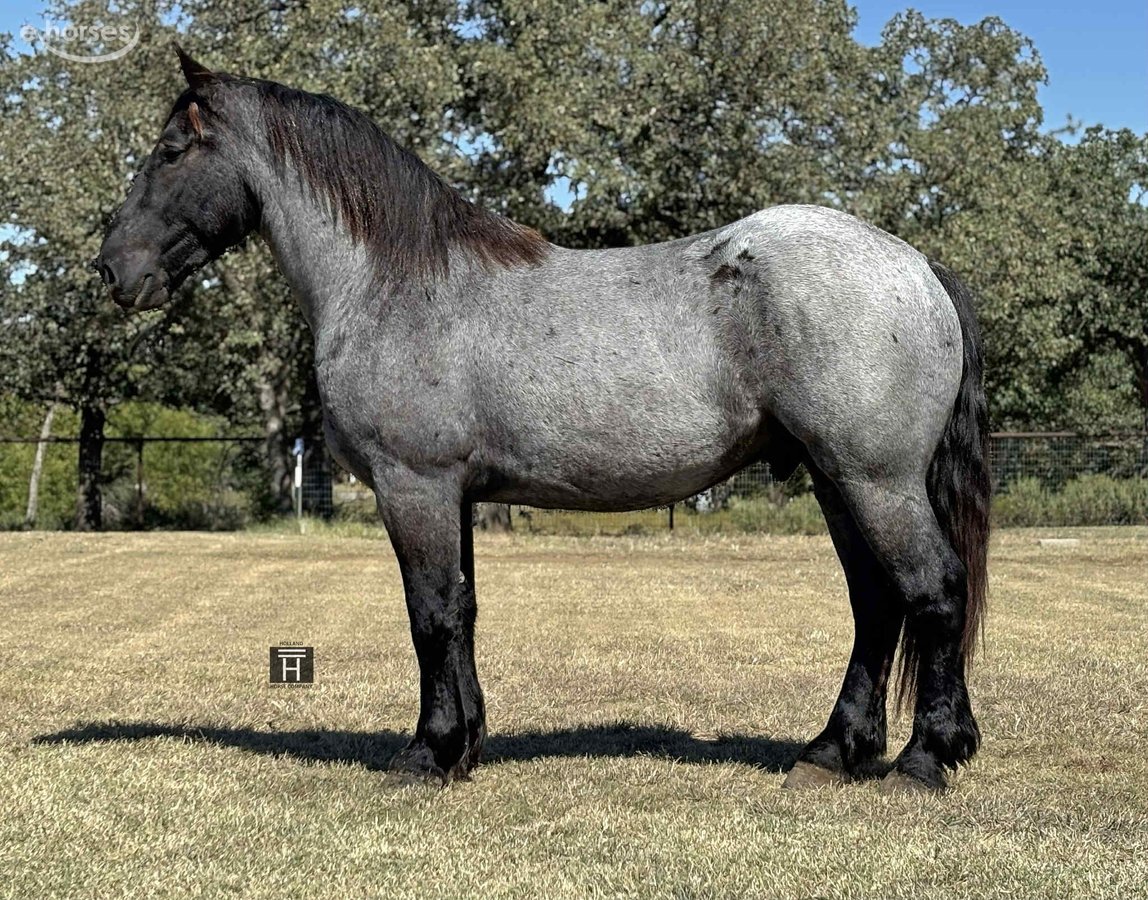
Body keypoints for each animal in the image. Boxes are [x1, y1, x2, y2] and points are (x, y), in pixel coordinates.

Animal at [95, 46, 990, 793]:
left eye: (171, 151)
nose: (113, 270)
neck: (394, 283)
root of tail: (916, 264)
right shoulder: (453, 494)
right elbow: (461, 612)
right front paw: (464, 746)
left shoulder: (413, 486)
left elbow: (430, 614)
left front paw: (426, 754)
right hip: (837, 480)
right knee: (875, 603)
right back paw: (832, 752)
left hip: (876, 480)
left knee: (933, 590)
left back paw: (922, 761)